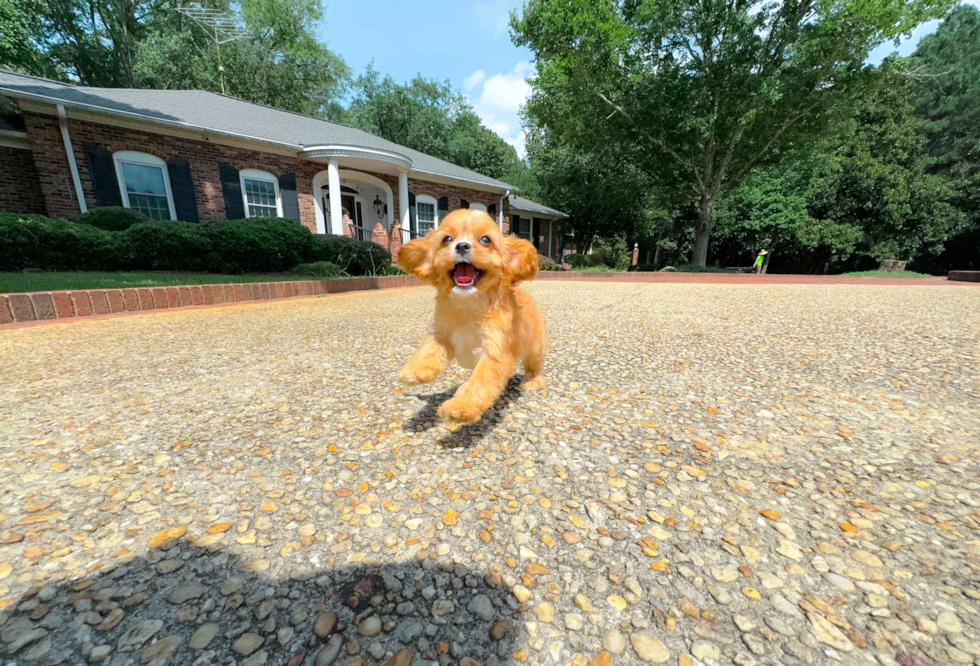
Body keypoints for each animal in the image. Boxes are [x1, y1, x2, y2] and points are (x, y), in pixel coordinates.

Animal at [398, 210, 552, 422]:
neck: (468, 306)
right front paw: (416, 370)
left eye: (485, 239)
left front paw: (461, 406)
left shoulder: (494, 350)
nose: (462, 245)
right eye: (447, 239)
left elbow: (480, 380)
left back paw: (533, 380)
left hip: (534, 345)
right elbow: (430, 349)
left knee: (534, 364)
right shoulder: (443, 333)